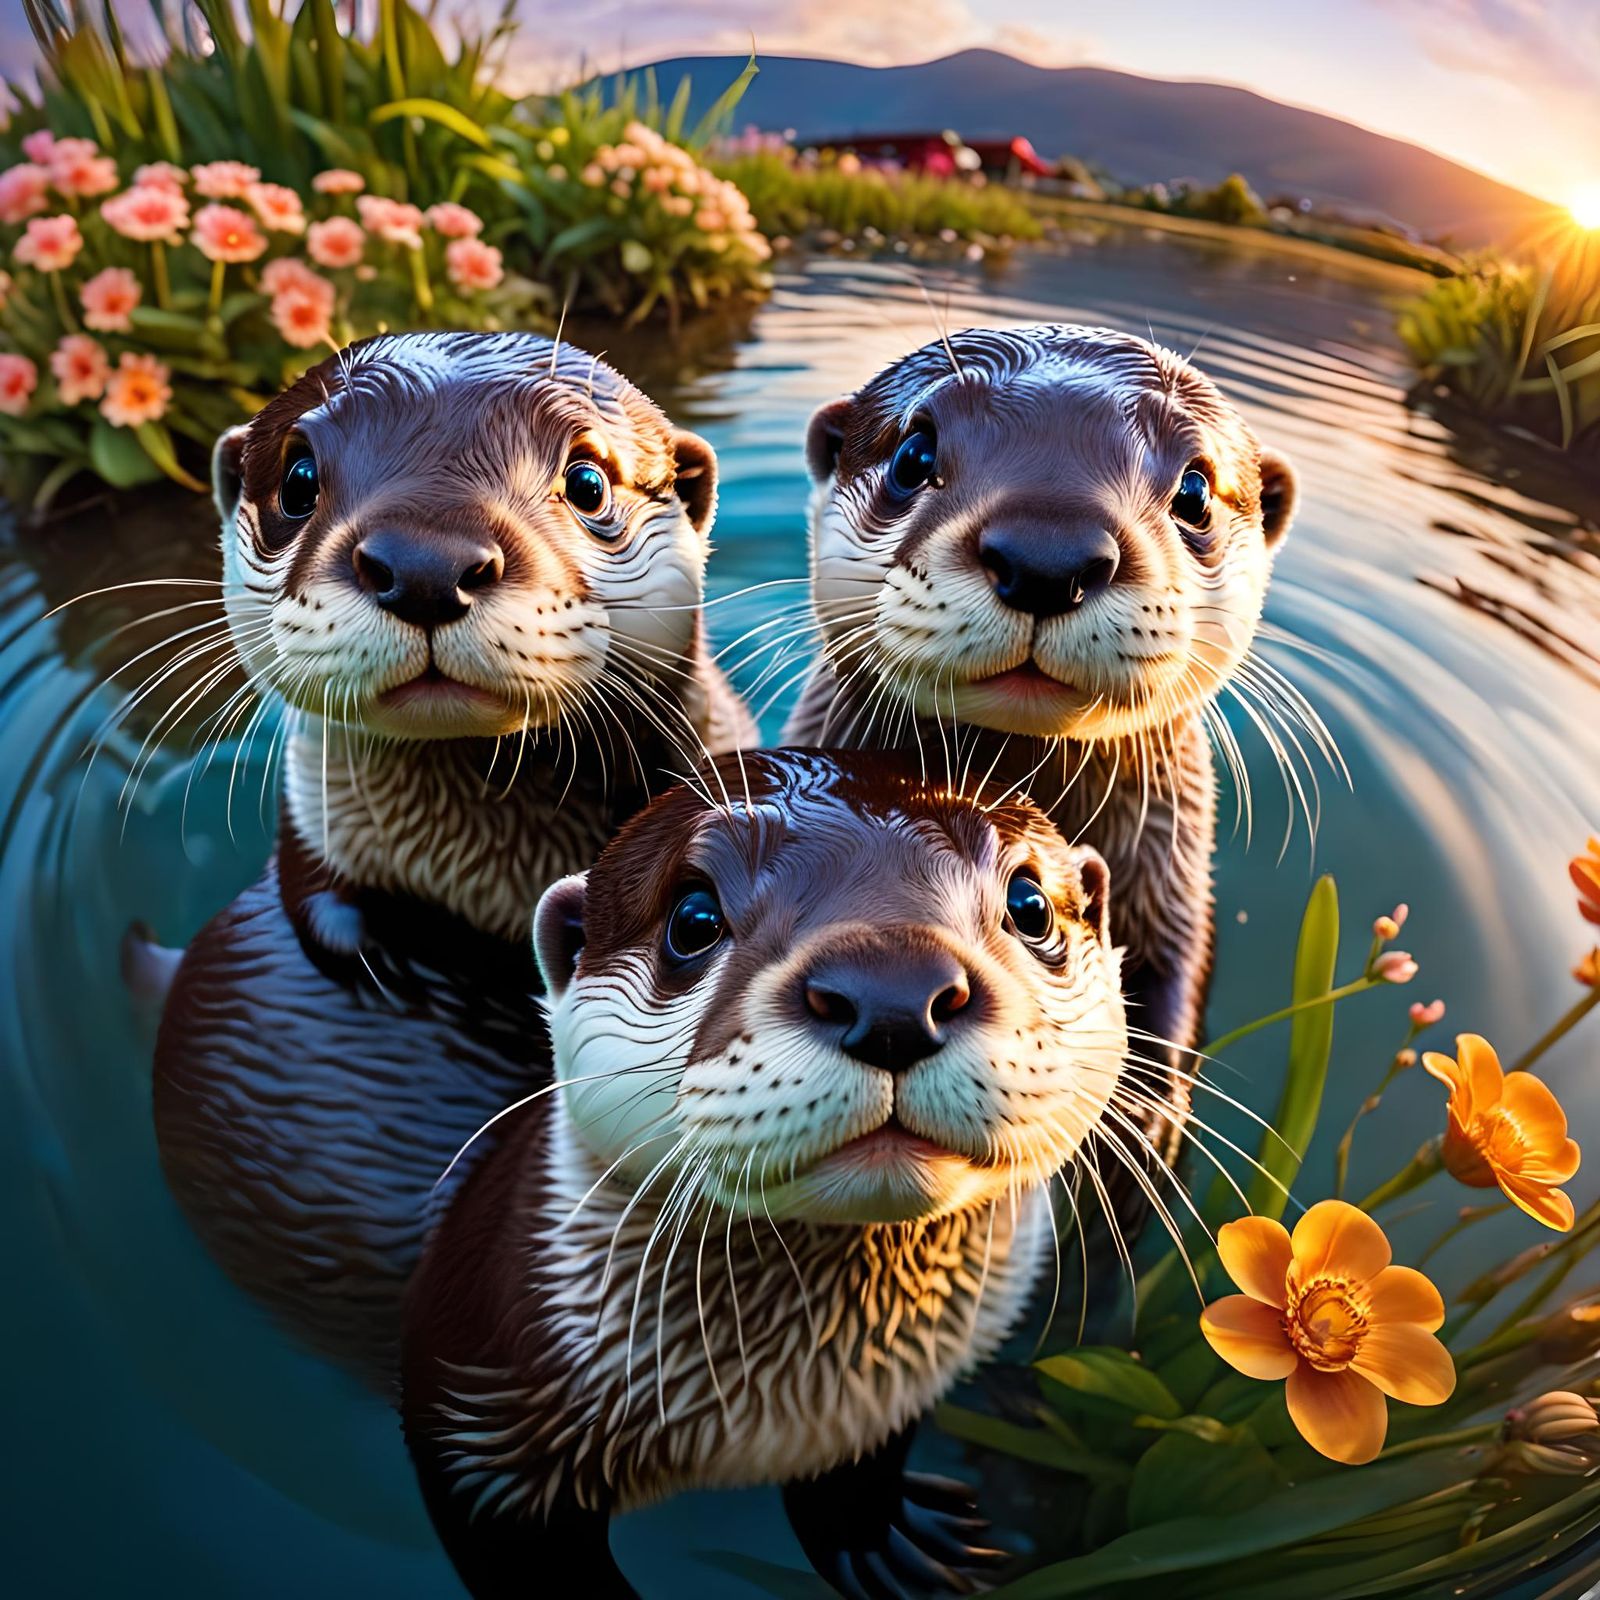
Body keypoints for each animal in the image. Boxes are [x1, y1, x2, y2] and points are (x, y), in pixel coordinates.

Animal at [149, 331, 754, 1376]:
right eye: (298, 478)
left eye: (588, 480)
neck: (490, 874)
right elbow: (323, 909)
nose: (424, 563)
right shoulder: (313, 836)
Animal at [401, 748, 1129, 1599]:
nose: (892, 995)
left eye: (1031, 905)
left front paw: (887, 1543)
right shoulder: (473, 1413)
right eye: (693, 920)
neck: (773, 1413)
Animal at [784, 324, 1300, 1166]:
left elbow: (1178, 974)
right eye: (913, 455)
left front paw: (1147, 1115)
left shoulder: (1177, 883)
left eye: (1196, 490)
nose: (1047, 556)